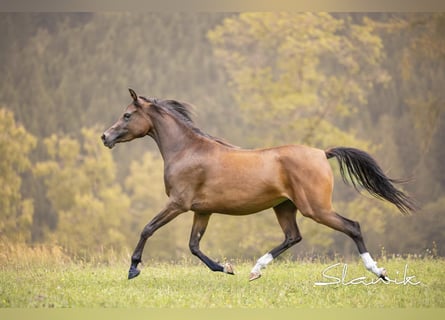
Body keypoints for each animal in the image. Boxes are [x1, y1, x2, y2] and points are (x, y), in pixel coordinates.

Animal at [102, 89, 414, 282]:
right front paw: (225, 268)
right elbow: (194, 246)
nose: (105, 137)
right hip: (285, 207)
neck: (187, 150)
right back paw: (255, 269)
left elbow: (148, 228)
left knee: (352, 227)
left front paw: (133, 268)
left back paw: (378, 272)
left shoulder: (178, 204)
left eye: (127, 115)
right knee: (292, 237)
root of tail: (322, 153)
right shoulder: (202, 210)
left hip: (316, 208)